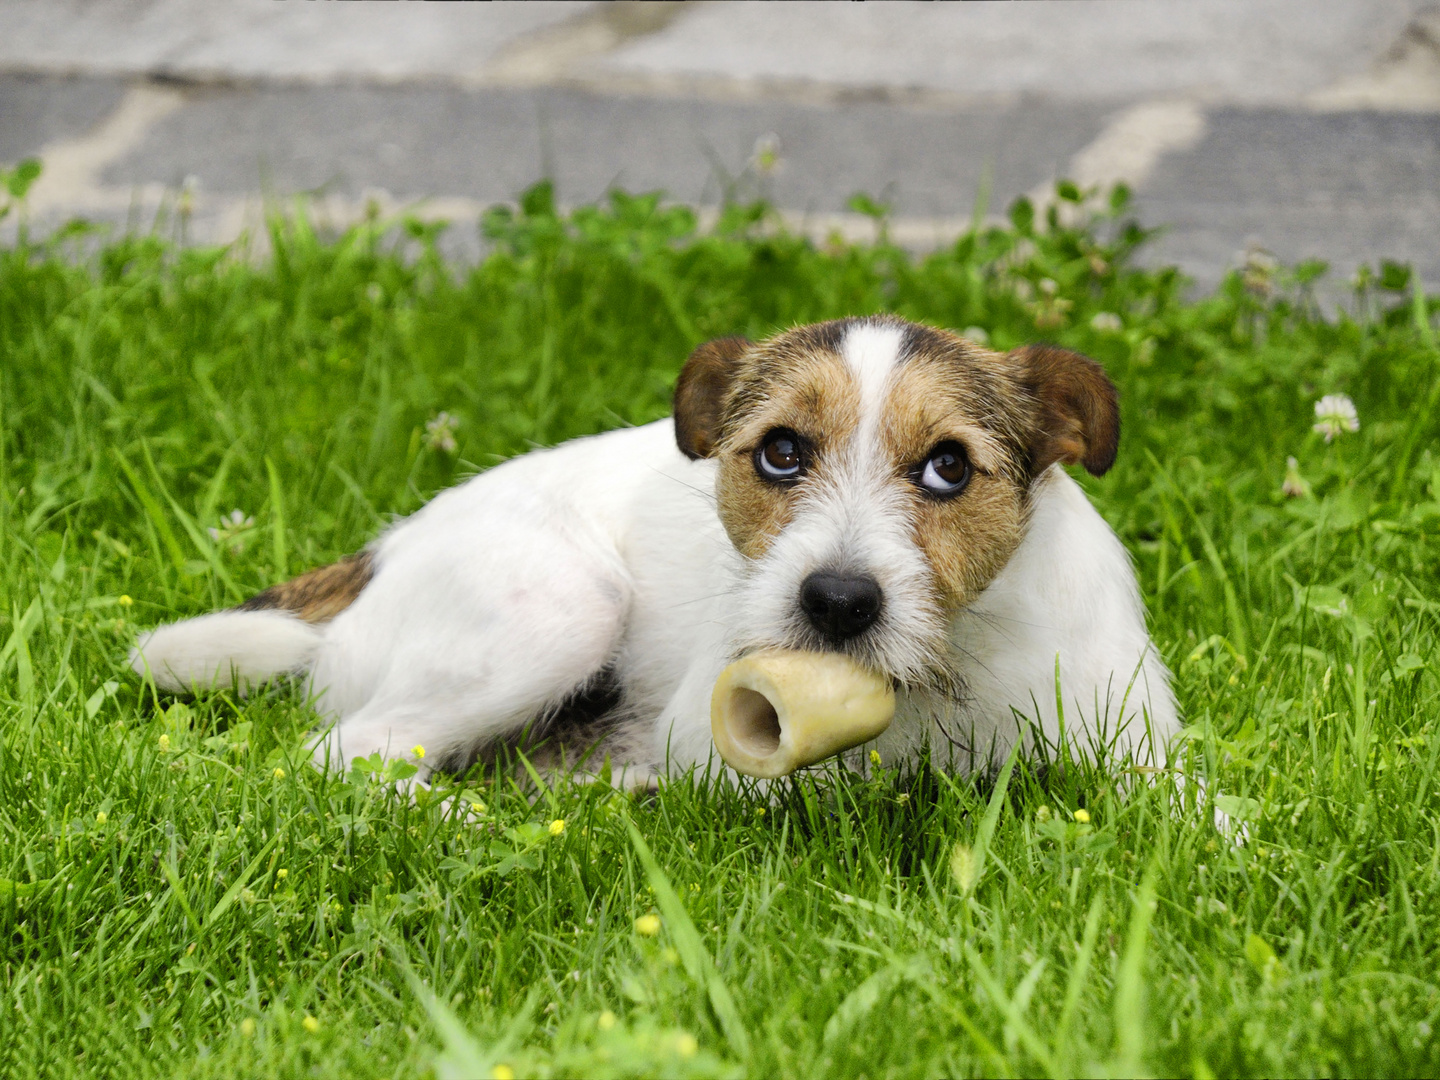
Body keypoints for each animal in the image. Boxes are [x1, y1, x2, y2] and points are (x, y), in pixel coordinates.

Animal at [129, 312, 1175, 789]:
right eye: (781, 452)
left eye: (949, 468)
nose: (837, 601)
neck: (953, 666)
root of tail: (381, 556)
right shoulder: (723, 749)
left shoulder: (1148, 763)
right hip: (561, 605)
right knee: (349, 753)